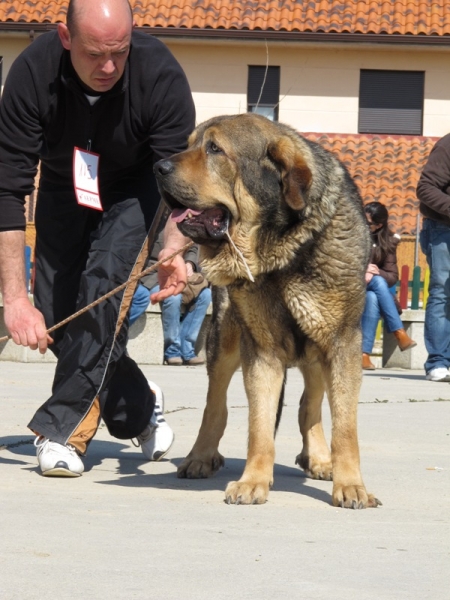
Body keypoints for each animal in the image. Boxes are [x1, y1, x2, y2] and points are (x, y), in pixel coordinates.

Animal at [154, 111, 380, 506]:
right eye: (190, 144)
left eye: (215, 149)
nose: (158, 166)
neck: (281, 248)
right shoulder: (262, 350)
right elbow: (259, 424)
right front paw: (253, 480)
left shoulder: (341, 343)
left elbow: (345, 426)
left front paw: (351, 485)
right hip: (225, 339)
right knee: (215, 404)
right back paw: (200, 457)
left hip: (316, 349)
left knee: (309, 404)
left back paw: (320, 458)